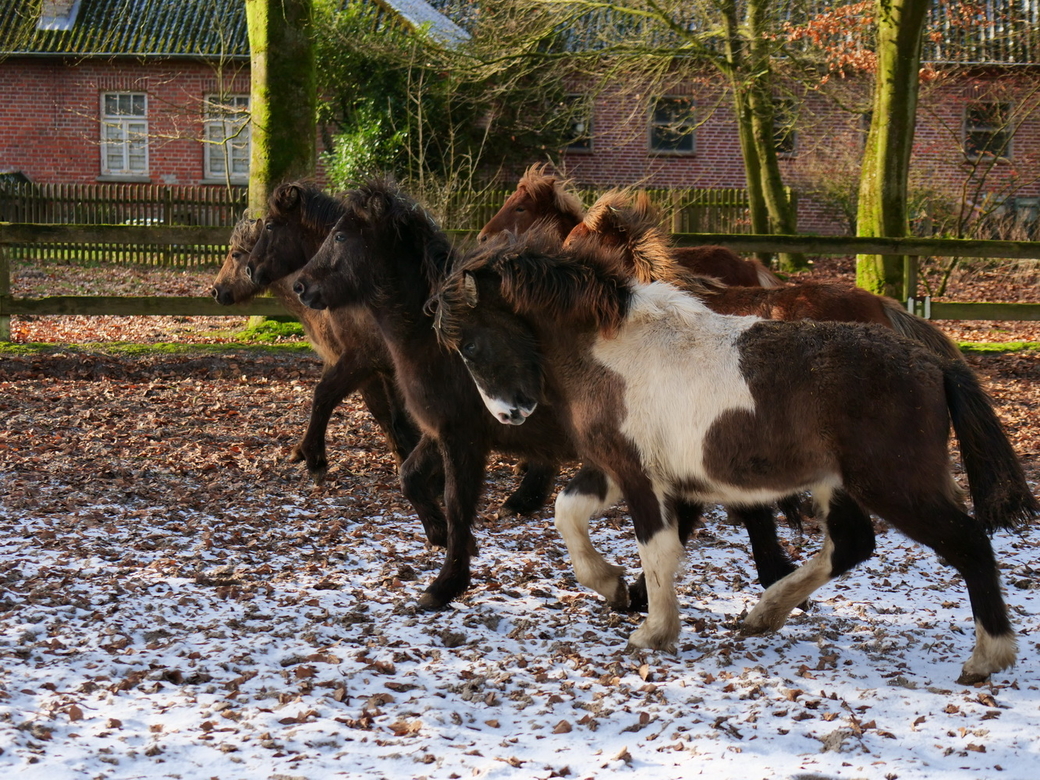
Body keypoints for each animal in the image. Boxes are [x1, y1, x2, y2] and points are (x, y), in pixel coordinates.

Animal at [430, 230, 1031, 682]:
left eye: (471, 342)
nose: (510, 413)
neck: (612, 351)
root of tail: (935, 366)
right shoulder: (618, 467)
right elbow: (568, 513)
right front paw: (613, 586)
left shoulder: (639, 476)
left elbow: (657, 548)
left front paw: (652, 630)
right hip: (835, 483)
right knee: (853, 543)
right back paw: (765, 614)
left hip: (896, 485)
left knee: (970, 543)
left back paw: (988, 657)